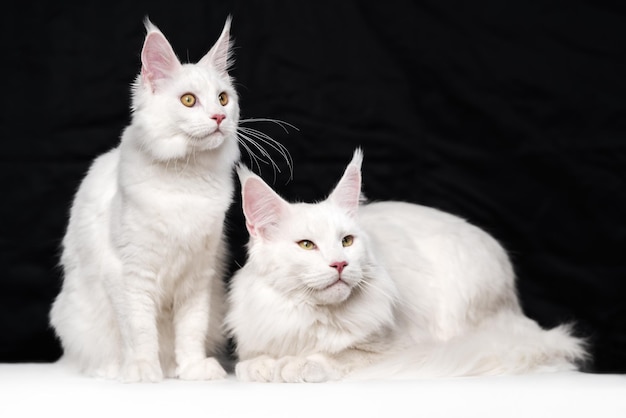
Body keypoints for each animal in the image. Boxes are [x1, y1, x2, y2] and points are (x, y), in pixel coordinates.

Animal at [48, 16, 270, 382]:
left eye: (223, 99)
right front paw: (142, 369)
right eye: (189, 101)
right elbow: (139, 330)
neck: (186, 181)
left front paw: (193, 368)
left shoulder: (198, 276)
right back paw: (116, 369)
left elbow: (191, 330)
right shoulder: (130, 274)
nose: (219, 118)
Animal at [225, 148, 584, 382]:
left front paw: (296, 365)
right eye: (306, 245)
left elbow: (339, 355)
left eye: (347, 241)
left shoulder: (389, 348)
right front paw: (266, 366)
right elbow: (248, 363)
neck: (313, 316)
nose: (340, 264)